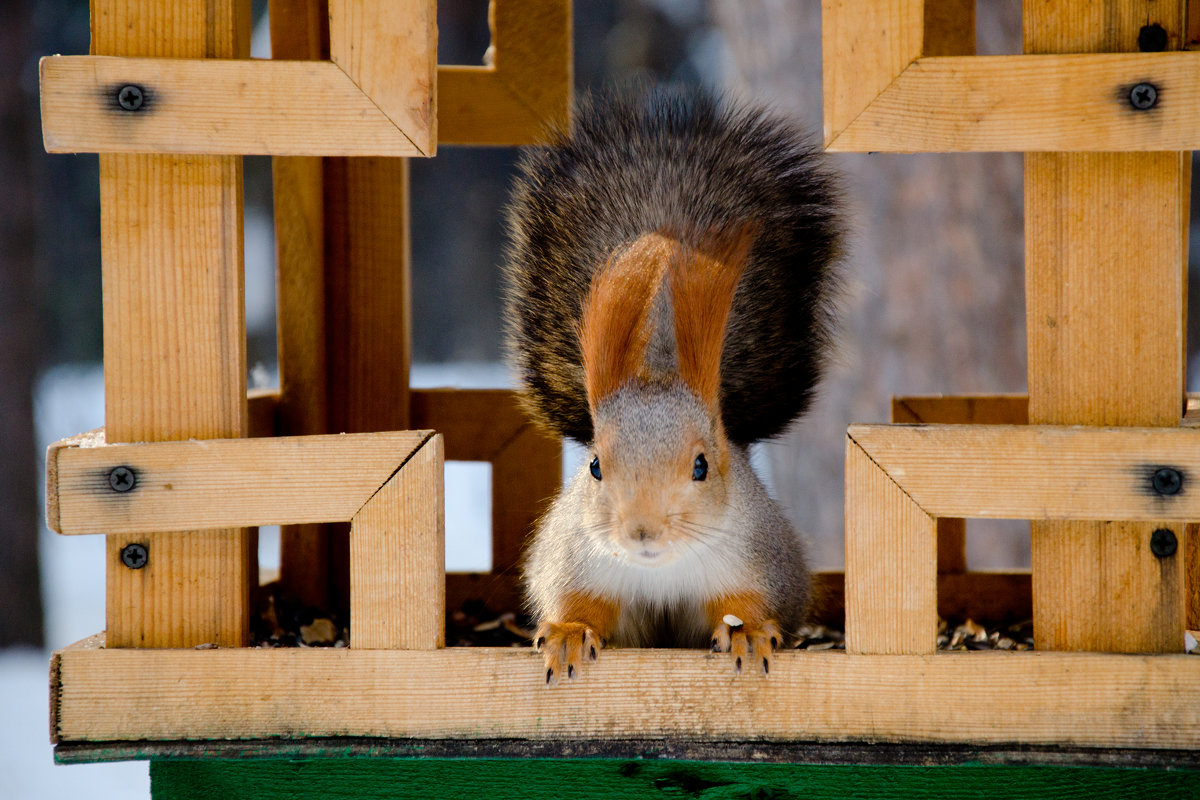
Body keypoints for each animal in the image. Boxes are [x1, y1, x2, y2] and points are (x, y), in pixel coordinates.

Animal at [501, 89, 840, 690]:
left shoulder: (756, 560)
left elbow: (749, 604)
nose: (643, 532)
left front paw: (748, 634)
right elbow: (575, 602)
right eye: (594, 466)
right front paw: (569, 634)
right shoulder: (574, 561)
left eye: (702, 465)